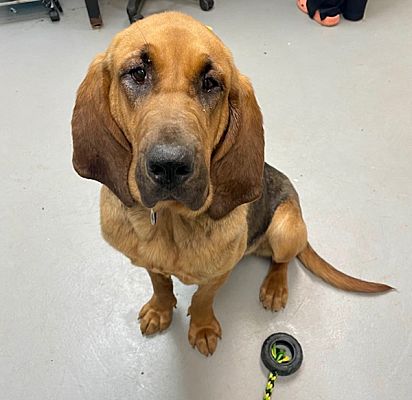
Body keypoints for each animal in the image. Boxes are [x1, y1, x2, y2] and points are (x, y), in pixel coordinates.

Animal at [71, 11, 392, 356]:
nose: (170, 166)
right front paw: (160, 308)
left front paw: (202, 328)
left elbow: (202, 298)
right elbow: (160, 282)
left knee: (282, 260)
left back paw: (275, 287)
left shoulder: (219, 274)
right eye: (138, 73)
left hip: (285, 227)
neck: (171, 219)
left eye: (211, 83)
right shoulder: (148, 262)